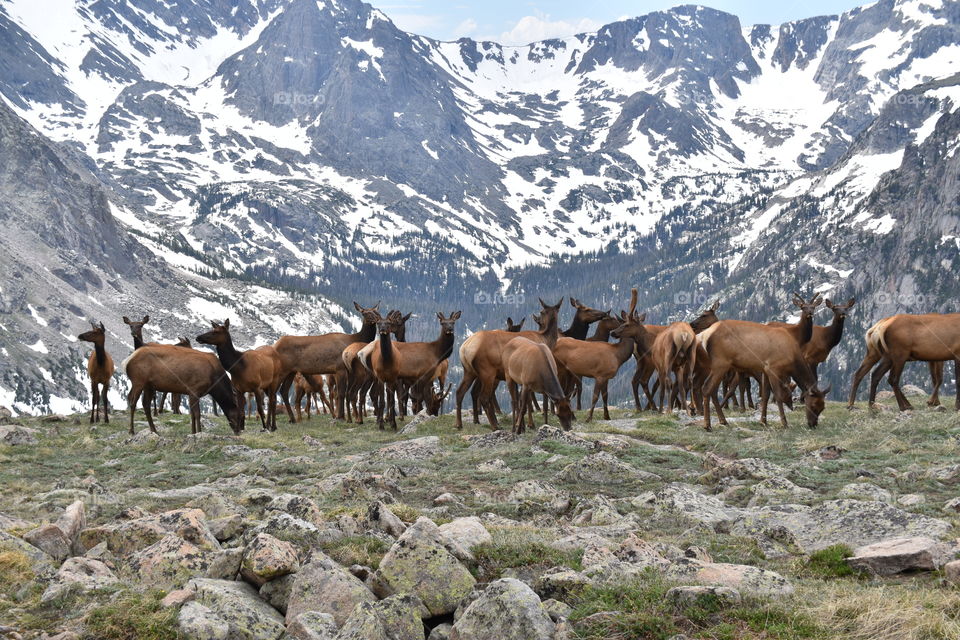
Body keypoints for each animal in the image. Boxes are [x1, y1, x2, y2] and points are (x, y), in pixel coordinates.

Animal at [458, 298, 564, 430]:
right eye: (542, 311)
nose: (538, 319)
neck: (546, 340)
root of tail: (465, 348)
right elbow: (528, 401)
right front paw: (530, 424)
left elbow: (520, 399)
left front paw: (523, 424)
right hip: (487, 372)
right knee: (483, 397)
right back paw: (495, 426)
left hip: (469, 371)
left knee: (461, 392)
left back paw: (461, 424)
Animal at [692, 322, 828, 432]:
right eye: (813, 406)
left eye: (823, 407)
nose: (813, 424)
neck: (793, 358)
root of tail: (703, 336)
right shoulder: (773, 368)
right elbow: (777, 396)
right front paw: (784, 423)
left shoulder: (765, 370)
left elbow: (766, 395)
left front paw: (763, 421)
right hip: (720, 363)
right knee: (706, 388)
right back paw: (707, 425)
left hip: (719, 366)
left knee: (713, 390)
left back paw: (723, 421)